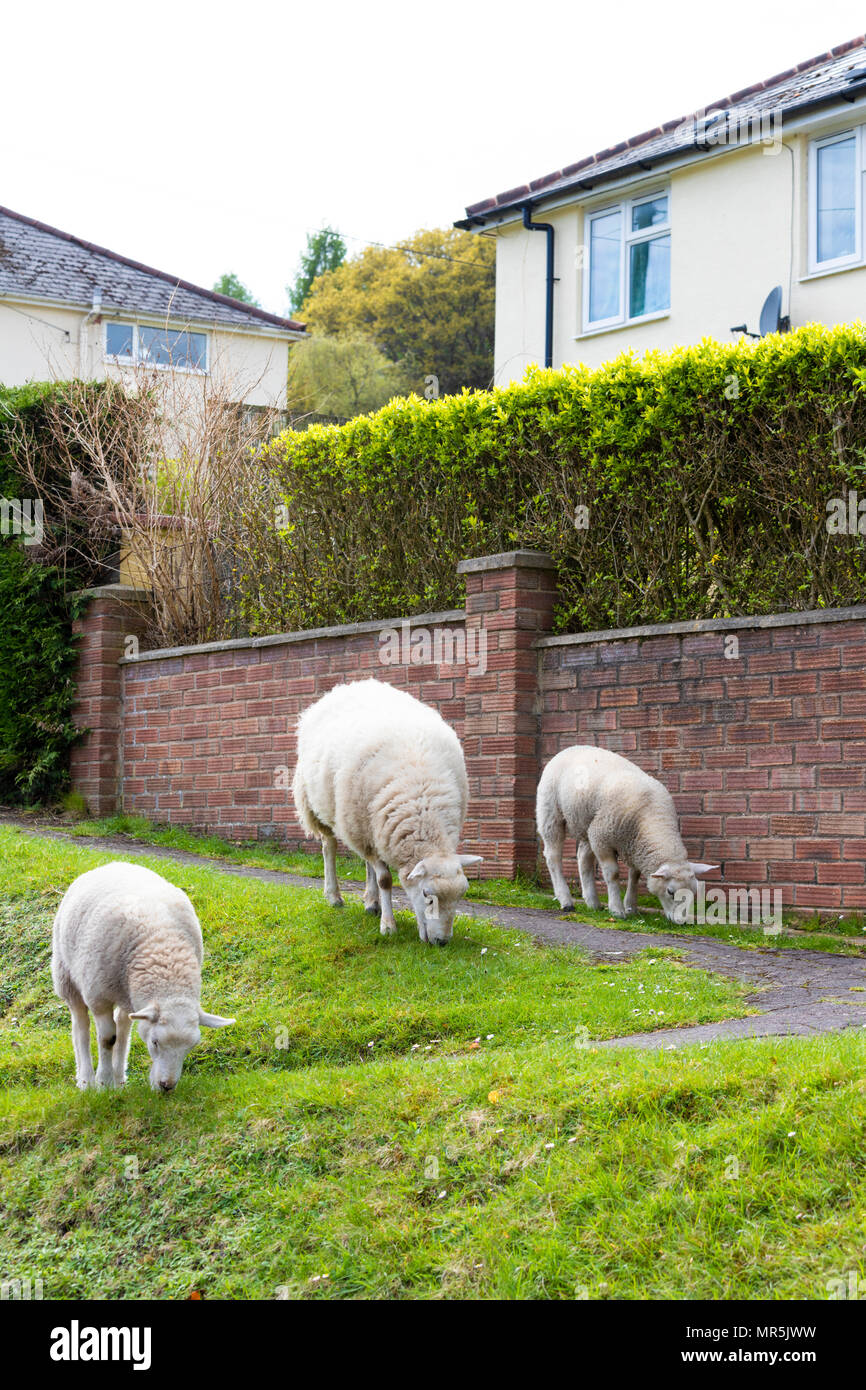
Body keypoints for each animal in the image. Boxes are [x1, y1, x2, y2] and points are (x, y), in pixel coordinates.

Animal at [50, 856, 233, 1095]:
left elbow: (120, 1034)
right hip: (67, 975)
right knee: (81, 1026)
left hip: (125, 993)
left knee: (123, 1026)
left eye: (191, 1047)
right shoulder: (98, 997)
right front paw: (103, 1083)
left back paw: (119, 1079)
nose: (166, 1086)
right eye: (155, 1042)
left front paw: (114, 1081)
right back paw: (86, 1080)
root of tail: (115, 863)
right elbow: (107, 1039)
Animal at [291, 675, 480, 945]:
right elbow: (385, 880)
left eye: (461, 895)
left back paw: (371, 902)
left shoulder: (376, 829)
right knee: (330, 847)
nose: (442, 942)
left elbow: (378, 874)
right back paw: (334, 896)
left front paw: (379, 909)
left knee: (367, 862)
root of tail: (352, 684)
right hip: (324, 808)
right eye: (427, 894)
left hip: (367, 823)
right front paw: (388, 926)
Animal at [536, 745, 717, 928]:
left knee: (583, 858)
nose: (682, 922)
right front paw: (617, 909)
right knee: (553, 857)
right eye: (670, 892)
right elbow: (613, 874)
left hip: (588, 824)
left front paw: (631, 907)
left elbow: (634, 876)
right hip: (551, 813)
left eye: (694, 891)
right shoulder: (602, 839)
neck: (652, 818)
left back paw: (593, 902)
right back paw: (566, 901)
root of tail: (572, 748)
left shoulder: (634, 845)